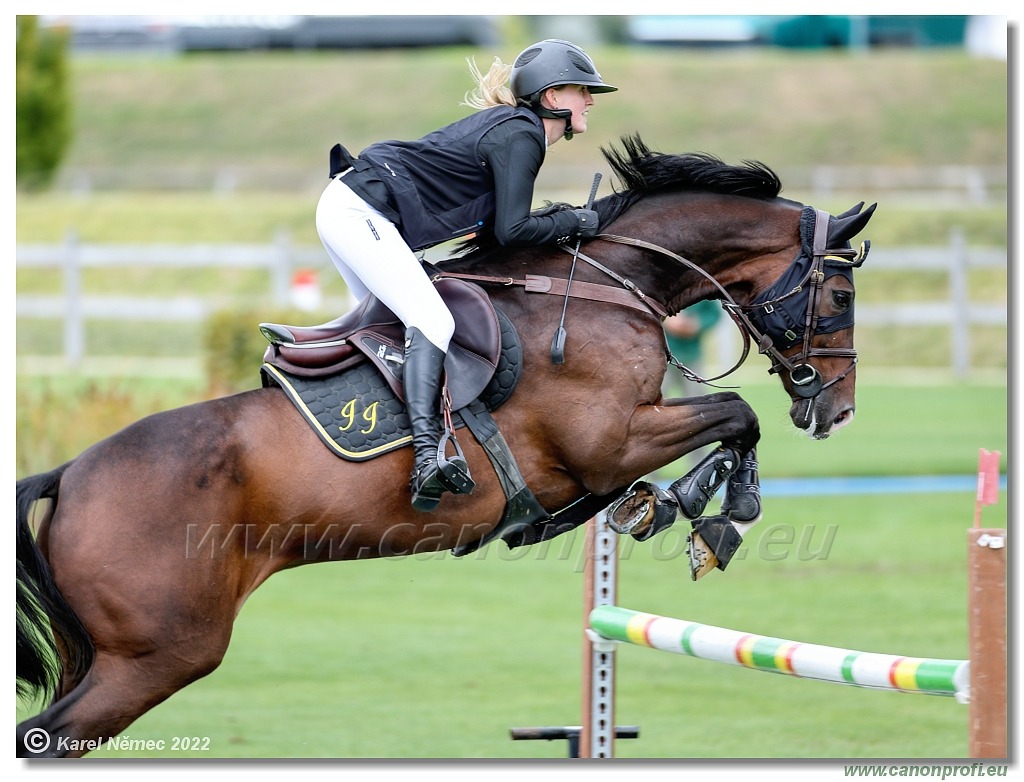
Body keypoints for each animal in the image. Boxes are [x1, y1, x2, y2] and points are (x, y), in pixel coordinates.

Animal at [18, 131, 872, 753]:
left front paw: (675, 508)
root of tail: (71, 476)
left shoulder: (610, 454)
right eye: (839, 293)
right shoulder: (610, 443)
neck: (607, 288)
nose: (838, 411)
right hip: (159, 655)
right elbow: (734, 413)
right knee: (44, 736)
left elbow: (728, 421)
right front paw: (708, 512)